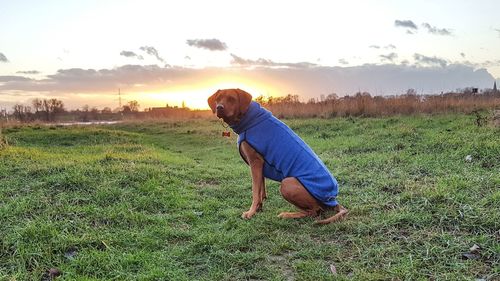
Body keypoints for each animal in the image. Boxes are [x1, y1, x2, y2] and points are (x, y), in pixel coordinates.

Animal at [208, 87, 348, 223]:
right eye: (218, 98)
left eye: (232, 99)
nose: (219, 107)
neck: (248, 120)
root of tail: (333, 200)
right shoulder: (260, 166)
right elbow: (261, 189)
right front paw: (259, 207)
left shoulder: (255, 162)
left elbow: (255, 191)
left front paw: (251, 212)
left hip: (287, 183)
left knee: (315, 211)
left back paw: (287, 214)